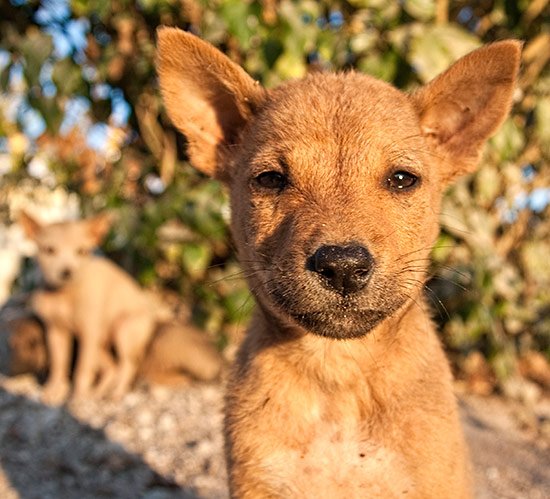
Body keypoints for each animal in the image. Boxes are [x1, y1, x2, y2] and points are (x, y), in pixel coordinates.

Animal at [18, 213, 157, 404]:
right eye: (49, 250)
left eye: (82, 251)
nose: (67, 272)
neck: (64, 295)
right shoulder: (56, 331)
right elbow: (58, 364)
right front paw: (54, 390)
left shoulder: (88, 334)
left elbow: (82, 369)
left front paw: (77, 396)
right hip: (100, 344)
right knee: (112, 368)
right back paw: (97, 393)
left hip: (123, 332)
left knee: (127, 365)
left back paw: (116, 393)